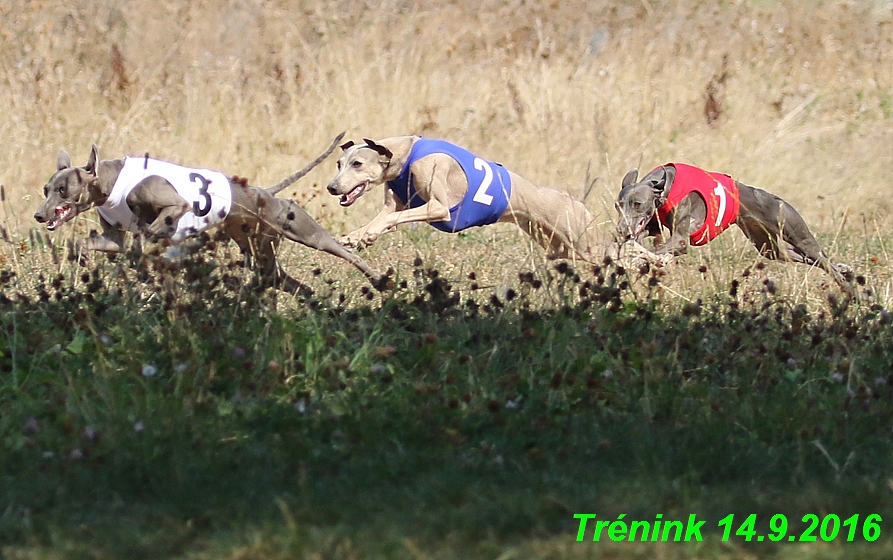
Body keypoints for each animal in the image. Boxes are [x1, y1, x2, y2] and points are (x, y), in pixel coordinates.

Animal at [33, 135, 382, 294]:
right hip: (260, 251)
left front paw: (146, 254)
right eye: (45, 189)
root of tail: (266, 192)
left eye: (62, 190)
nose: (39, 215)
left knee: (346, 251)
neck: (110, 180)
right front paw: (80, 255)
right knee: (290, 282)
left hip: (303, 230)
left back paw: (378, 280)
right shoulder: (111, 237)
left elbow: (148, 233)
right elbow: (96, 244)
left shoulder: (175, 206)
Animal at [322, 137, 620, 264]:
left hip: (585, 241)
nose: (332, 188)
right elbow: (384, 218)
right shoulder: (392, 204)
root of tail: (570, 198)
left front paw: (366, 236)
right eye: (339, 163)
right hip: (559, 245)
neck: (405, 153)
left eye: (358, 164)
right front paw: (357, 237)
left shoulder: (438, 206)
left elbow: (395, 218)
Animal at [612, 162, 852, 296]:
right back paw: (844, 269)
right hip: (769, 248)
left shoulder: (680, 239)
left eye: (638, 204)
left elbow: (658, 249)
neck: (665, 185)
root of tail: (776, 199)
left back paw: (848, 289)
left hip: (798, 234)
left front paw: (637, 258)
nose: (622, 231)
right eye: (618, 205)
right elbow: (644, 239)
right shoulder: (652, 226)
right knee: (805, 258)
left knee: (820, 258)